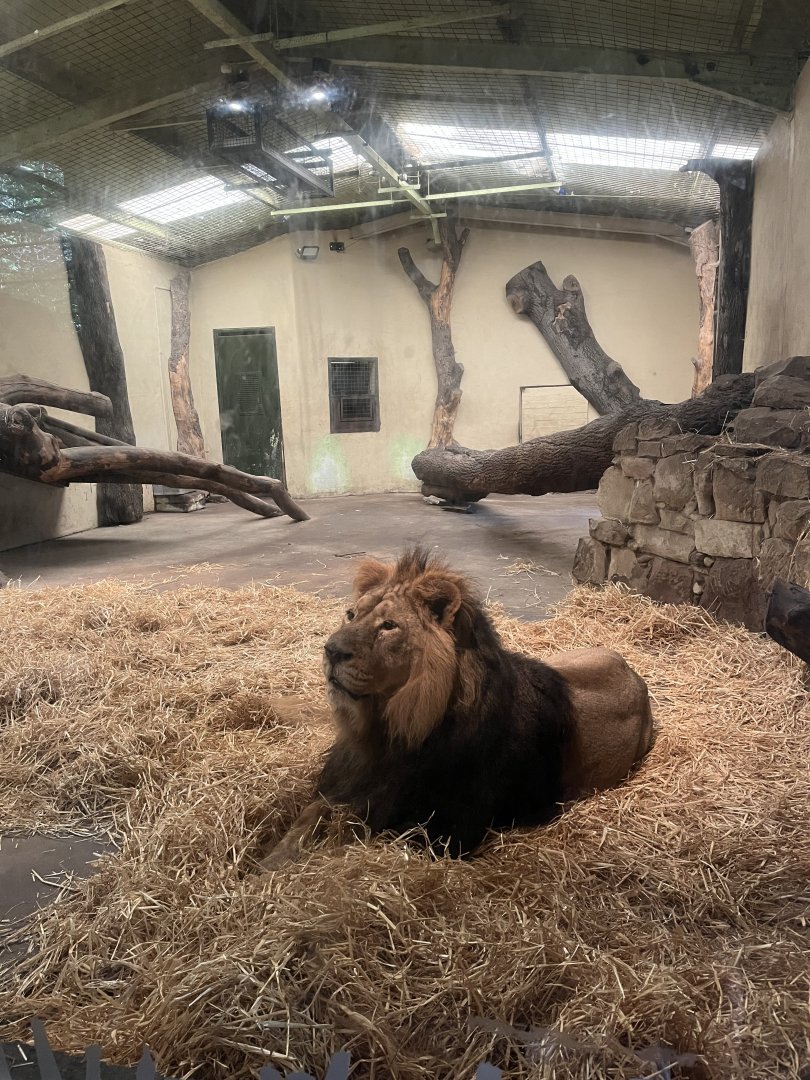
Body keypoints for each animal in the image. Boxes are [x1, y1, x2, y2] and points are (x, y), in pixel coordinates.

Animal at [259, 547, 653, 869]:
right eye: (351, 614)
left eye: (389, 626)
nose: (330, 650)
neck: (387, 728)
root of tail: (637, 679)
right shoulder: (349, 780)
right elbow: (310, 814)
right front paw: (271, 861)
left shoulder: (442, 831)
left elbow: (347, 842)